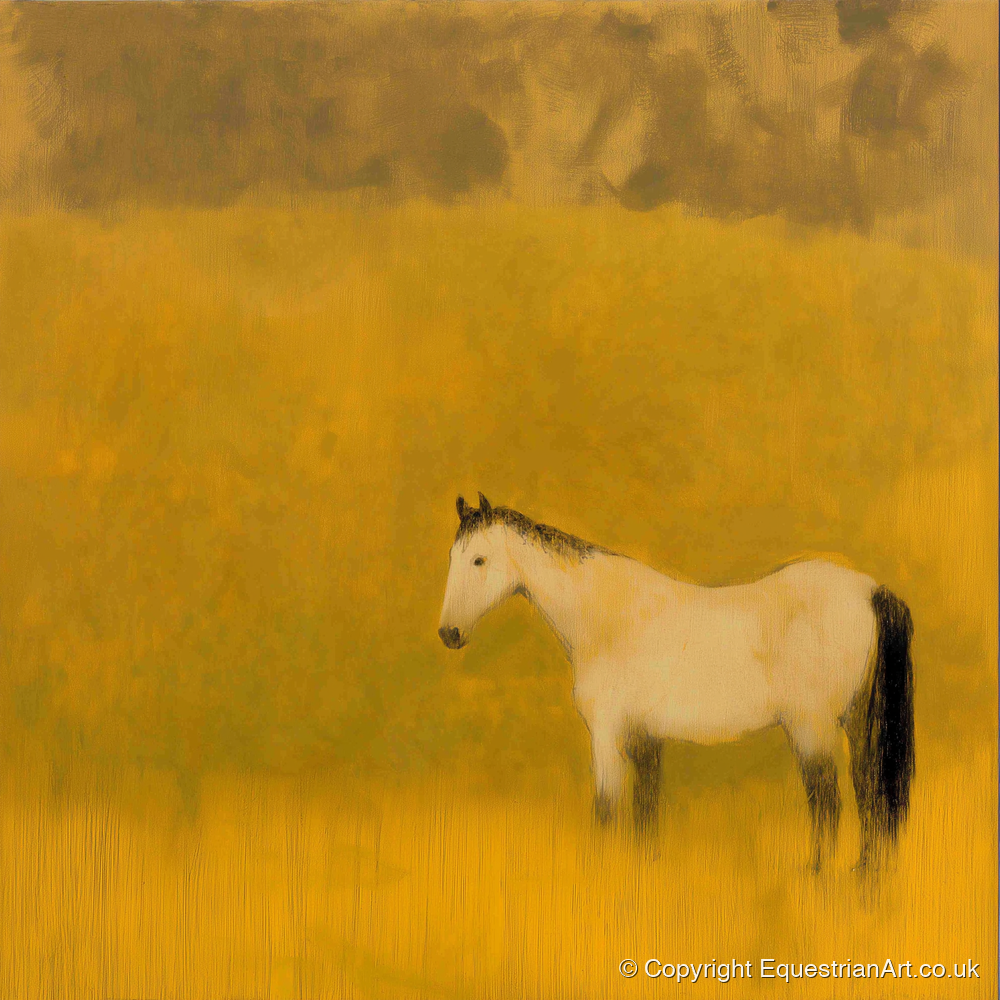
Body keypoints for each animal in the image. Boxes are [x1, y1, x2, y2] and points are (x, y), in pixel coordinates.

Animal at [437, 494, 914, 872]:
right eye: (452, 558)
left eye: (478, 560)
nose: (449, 634)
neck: (610, 618)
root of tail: (869, 590)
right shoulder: (645, 738)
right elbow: (646, 815)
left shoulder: (607, 734)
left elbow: (607, 811)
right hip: (856, 723)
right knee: (869, 792)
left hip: (811, 727)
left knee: (828, 802)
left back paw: (818, 877)